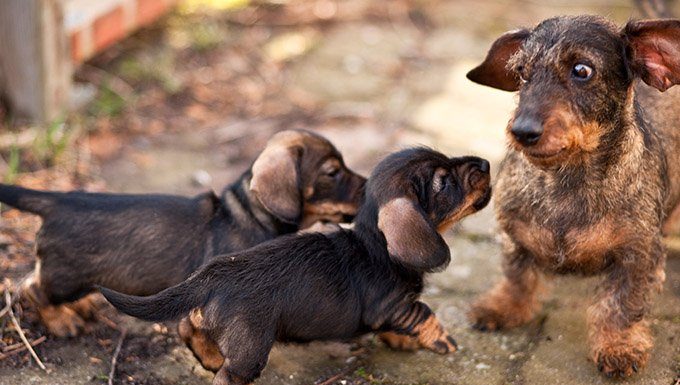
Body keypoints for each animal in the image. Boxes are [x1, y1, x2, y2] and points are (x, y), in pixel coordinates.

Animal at [0, 129, 366, 336]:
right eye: (332, 172)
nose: (368, 187)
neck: (253, 215)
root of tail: (58, 200)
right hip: (66, 279)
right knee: (32, 289)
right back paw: (62, 322)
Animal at [99, 148, 488, 384]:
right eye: (444, 180)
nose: (485, 164)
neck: (374, 244)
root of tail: (212, 275)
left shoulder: (393, 312)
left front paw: (401, 340)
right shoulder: (394, 306)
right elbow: (427, 315)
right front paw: (443, 342)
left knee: (189, 327)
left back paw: (208, 357)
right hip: (250, 350)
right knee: (227, 372)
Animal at [464, 14, 680, 376]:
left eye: (582, 70)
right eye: (521, 71)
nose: (522, 131)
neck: (567, 179)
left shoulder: (640, 255)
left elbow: (621, 304)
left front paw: (618, 346)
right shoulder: (512, 235)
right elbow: (517, 276)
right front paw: (502, 307)